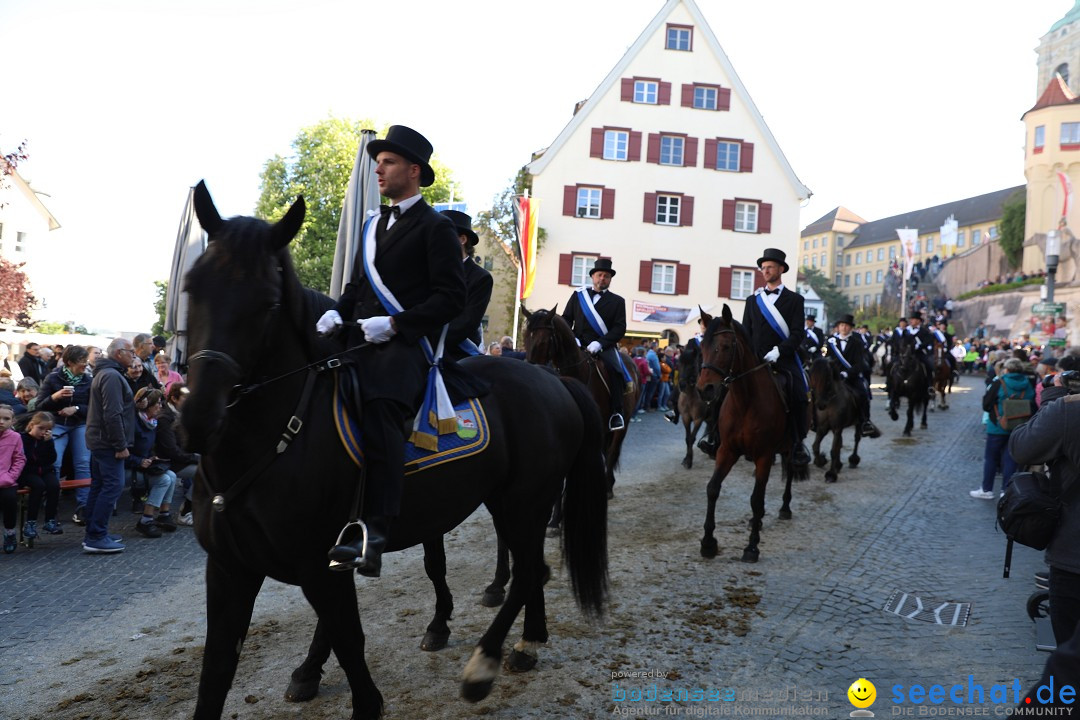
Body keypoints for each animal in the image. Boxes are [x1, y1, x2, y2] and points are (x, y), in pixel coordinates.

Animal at [181, 183, 613, 716]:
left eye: (268, 303)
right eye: (192, 287)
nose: (198, 420)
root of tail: (554, 380)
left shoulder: (321, 566)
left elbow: (352, 647)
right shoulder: (230, 571)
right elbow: (216, 674)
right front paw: (311, 669)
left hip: (524, 501)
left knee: (532, 568)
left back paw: (486, 664)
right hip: (509, 501)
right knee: (532, 568)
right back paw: (529, 640)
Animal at [518, 304, 635, 496]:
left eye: (543, 341)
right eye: (525, 338)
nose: (530, 371)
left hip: (621, 426)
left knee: (611, 453)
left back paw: (607, 486)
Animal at [695, 304, 807, 561]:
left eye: (726, 346)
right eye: (702, 347)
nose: (705, 389)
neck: (745, 401)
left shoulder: (764, 455)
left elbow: (756, 499)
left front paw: (752, 547)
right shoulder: (727, 450)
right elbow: (712, 488)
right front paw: (708, 542)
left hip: (788, 447)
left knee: (789, 470)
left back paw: (784, 508)